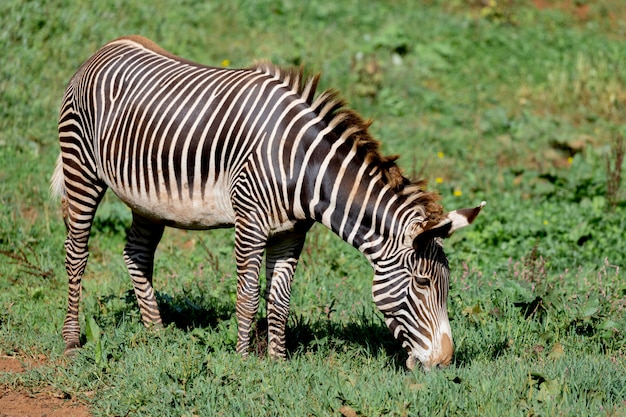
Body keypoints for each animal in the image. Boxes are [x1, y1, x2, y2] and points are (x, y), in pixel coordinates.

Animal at [51, 35, 486, 368]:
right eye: (423, 282)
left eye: (448, 285)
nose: (444, 362)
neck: (304, 169)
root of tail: (106, 47)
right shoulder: (250, 224)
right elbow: (246, 296)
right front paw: (244, 361)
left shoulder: (291, 233)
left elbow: (279, 299)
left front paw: (278, 362)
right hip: (82, 170)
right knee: (76, 253)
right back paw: (71, 340)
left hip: (147, 200)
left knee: (136, 254)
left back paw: (156, 334)